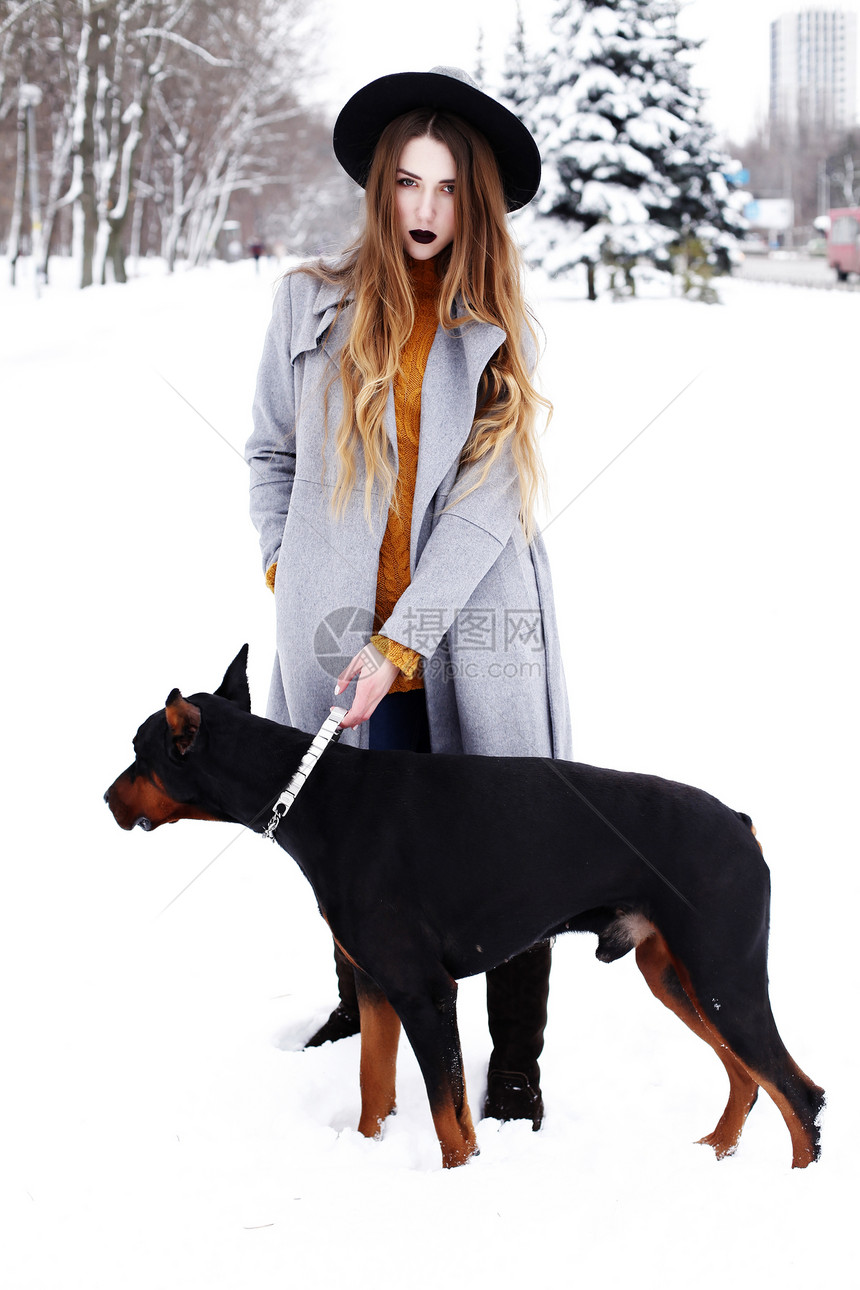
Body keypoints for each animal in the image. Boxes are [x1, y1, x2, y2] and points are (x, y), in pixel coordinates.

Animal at [107, 650, 825, 1166]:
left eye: (139, 754)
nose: (105, 799)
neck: (313, 793)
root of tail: (741, 824)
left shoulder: (426, 992)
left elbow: (448, 1118)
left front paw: (457, 1178)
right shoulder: (377, 984)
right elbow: (374, 1088)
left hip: (724, 978)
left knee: (800, 1093)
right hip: (676, 977)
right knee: (749, 1079)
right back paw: (714, 1152)